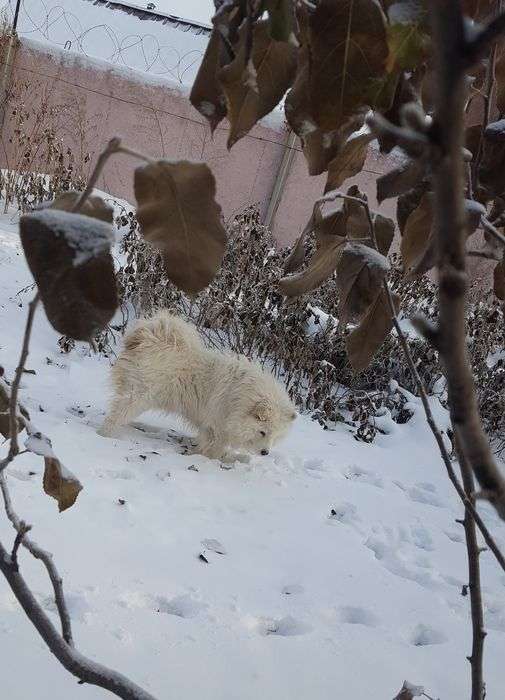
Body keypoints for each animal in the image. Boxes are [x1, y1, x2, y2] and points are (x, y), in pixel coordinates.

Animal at [98, 312, 296, 460]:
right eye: (262, 432)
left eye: (276, 436)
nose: (265, 453)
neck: (240, 398)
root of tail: (148, 337)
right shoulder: (217, 427)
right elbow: (214, 450)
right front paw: (211, 461)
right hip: (138, 396)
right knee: (114, 417)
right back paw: (105, 436)